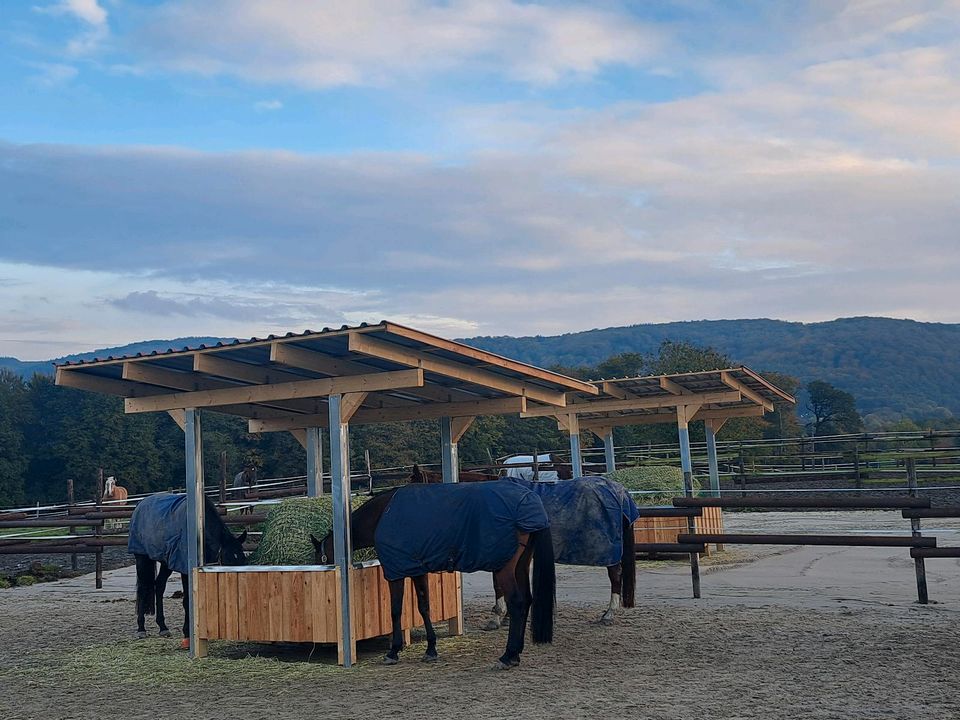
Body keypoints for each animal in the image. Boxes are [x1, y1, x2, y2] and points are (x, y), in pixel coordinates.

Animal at [127, 492, 246, 640]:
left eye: (243, 561)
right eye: (228, 562)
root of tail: (140, 504)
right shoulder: (185, 569)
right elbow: (187, 600)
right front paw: (187, 632)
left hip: (166, 563)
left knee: (159, 586)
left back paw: (163, 627)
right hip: (142, 558)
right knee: (143, 589)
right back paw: (141, 628)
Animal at [314, 478, 556, 668]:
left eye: (319, 557)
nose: (318, 567)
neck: (384, 513)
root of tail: (531, 501)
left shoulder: (396, 572)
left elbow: (395, 609)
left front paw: (393, 651)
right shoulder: (417, 570)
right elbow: (424, 607)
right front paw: (431, 649)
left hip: (504, 568)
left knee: (516, 602)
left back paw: (507, 655)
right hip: (521, 566)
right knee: (526, 600)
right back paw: (516, 653)